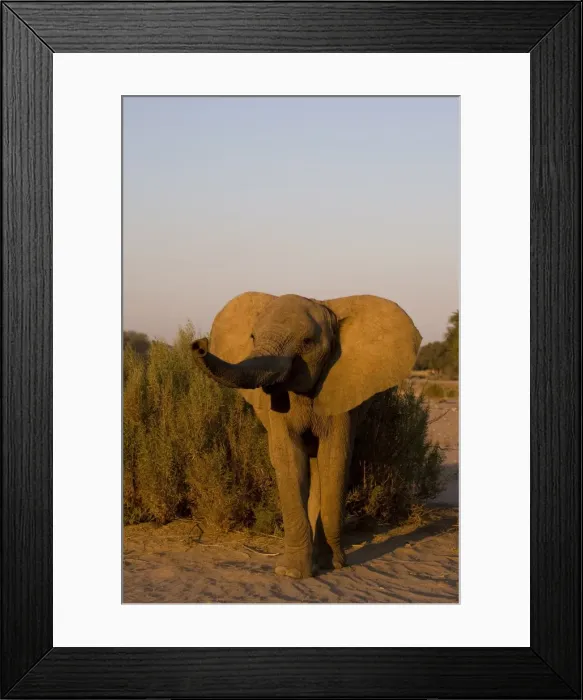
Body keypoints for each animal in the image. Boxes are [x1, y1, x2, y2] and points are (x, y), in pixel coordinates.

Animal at [192, 292, 421, 579]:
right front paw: (291, 572)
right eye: (252, 337)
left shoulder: (341, 393)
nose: (199, 345)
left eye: (307, 342)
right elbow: (289, 458)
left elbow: (334, 458)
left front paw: (331, 564)